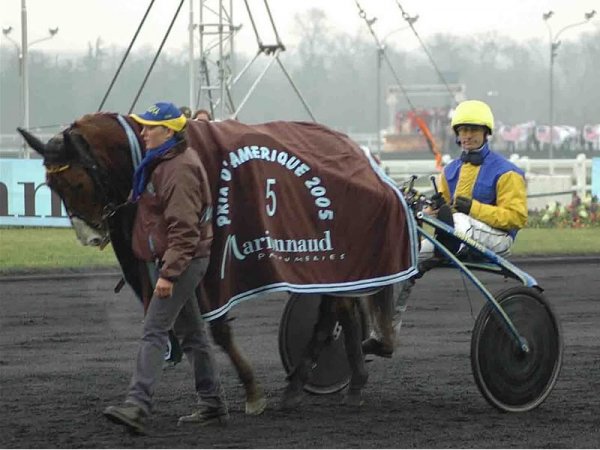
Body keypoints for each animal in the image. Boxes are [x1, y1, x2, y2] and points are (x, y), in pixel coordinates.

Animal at [19, 112, 412, 408]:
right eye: (52, 187)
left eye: (78, 183)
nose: (91, 236)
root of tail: (361, 155)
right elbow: (181, 325)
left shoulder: (213, 266)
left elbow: (217, 329)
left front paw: (251, 390)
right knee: (341, 309)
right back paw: (344, 381)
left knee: (335, 310)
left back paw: (313, 381)